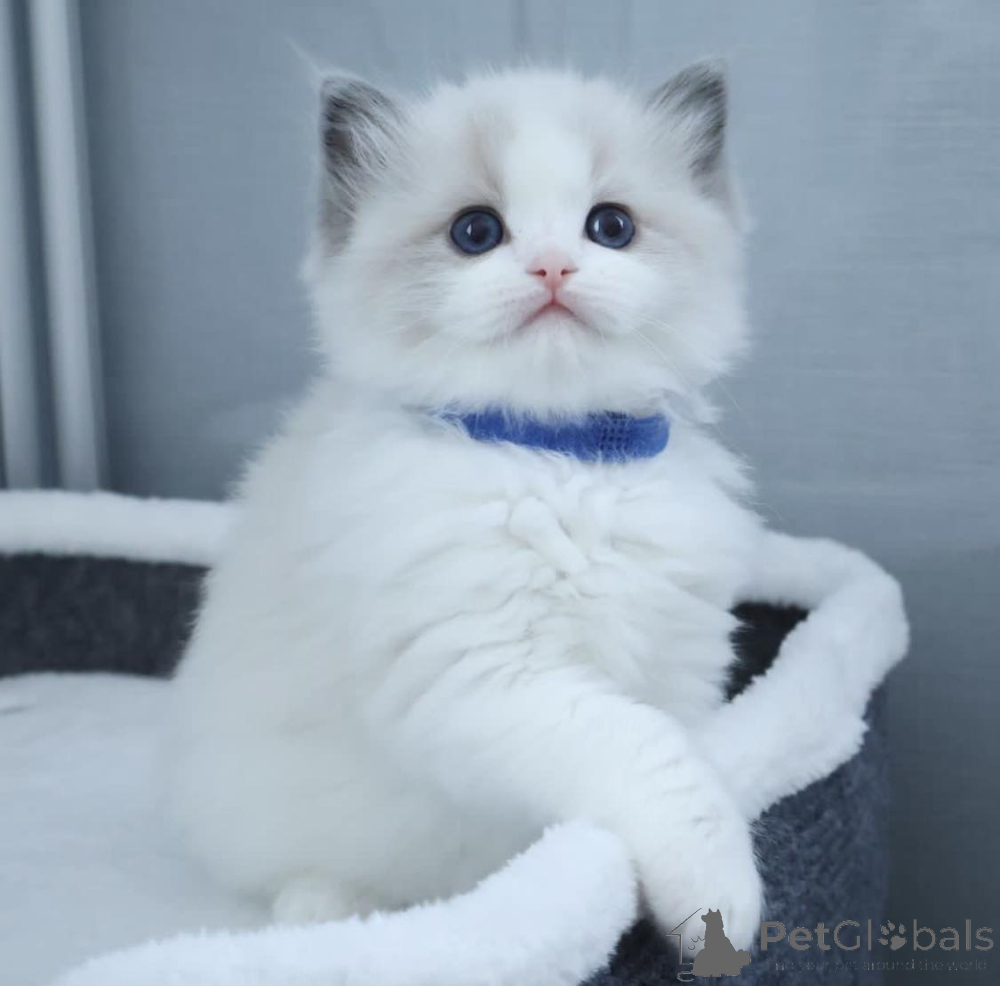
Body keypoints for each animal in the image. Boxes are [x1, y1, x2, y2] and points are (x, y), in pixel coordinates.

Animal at [168, 63, 765, 948]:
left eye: (610, 227)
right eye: (476, 233)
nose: (553, 268)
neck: (559, 457)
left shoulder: (678, 665)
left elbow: (687, 759)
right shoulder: (486, 678)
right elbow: (653, 761)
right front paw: (719, 902)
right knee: (304, 879)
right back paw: (325, 914)